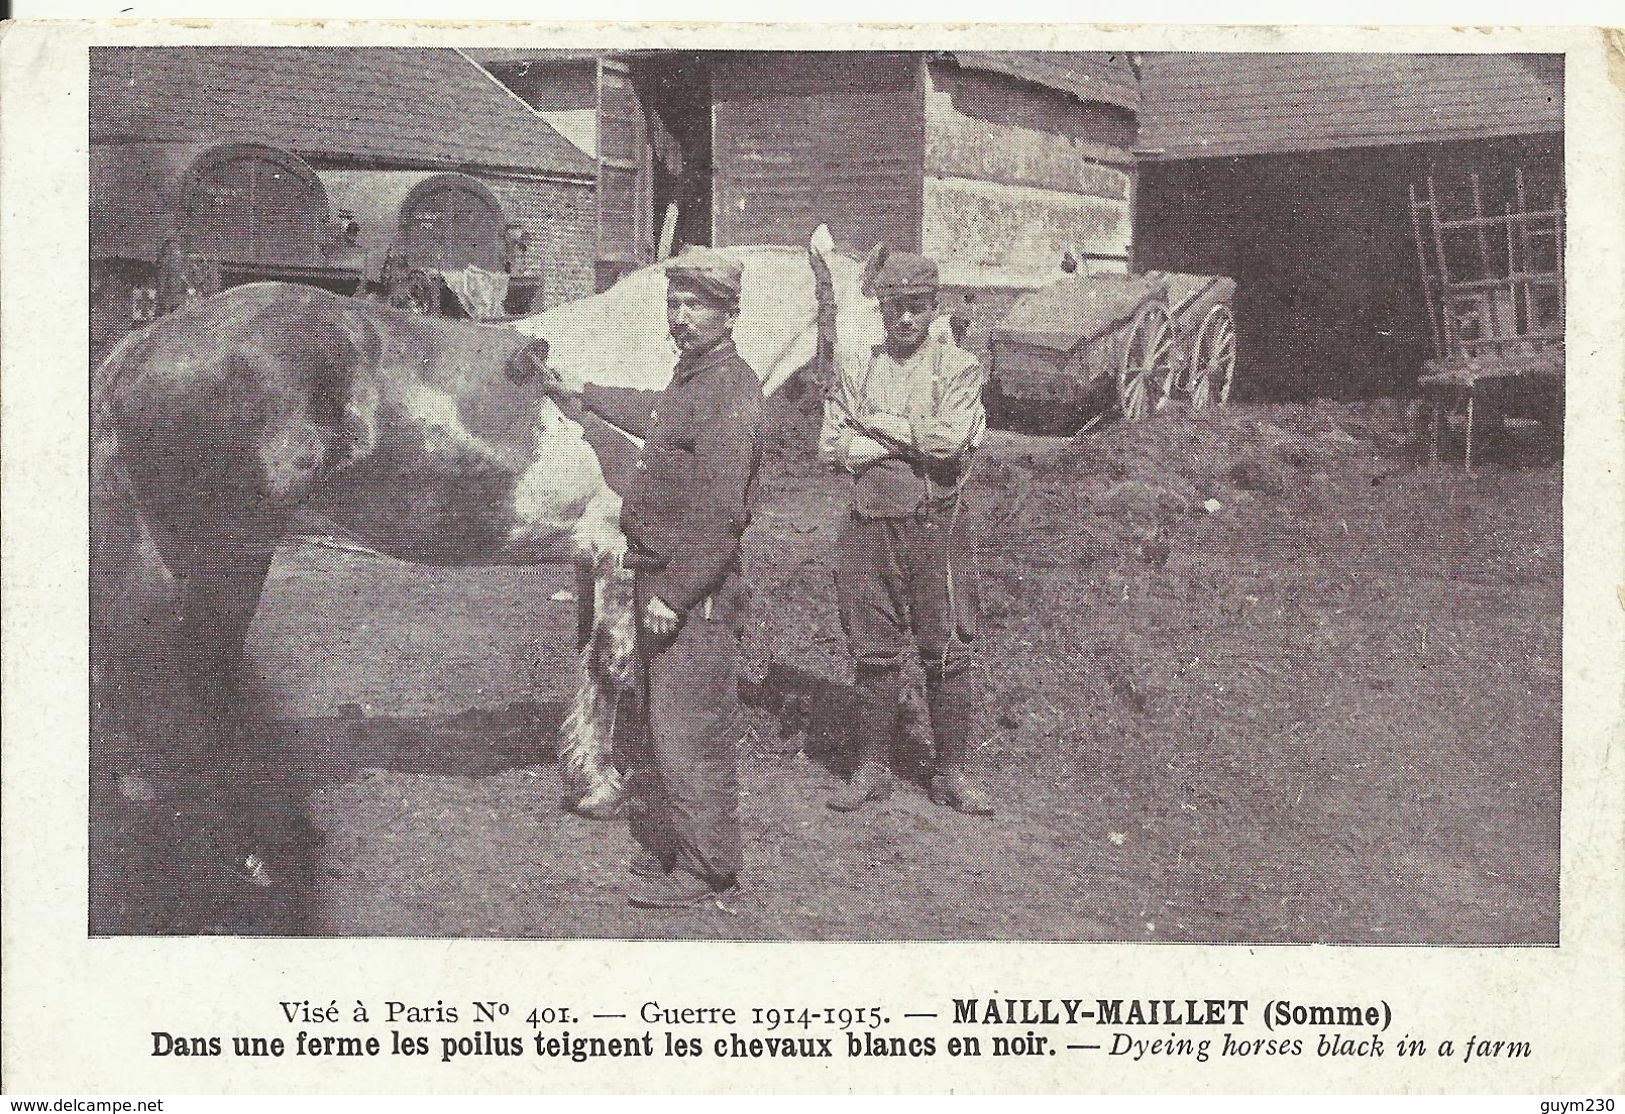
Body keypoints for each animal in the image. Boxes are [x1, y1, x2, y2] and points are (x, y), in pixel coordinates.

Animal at [93, 228, 884, 889]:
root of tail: (144, 346)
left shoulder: (589, 557)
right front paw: (600, 789)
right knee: (197, 679)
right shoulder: (619, 554)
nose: (851, 450)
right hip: (222, 561)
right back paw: (248, 849)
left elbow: (591, 659)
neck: (655, 366)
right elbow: (612, 663)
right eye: (885, 333)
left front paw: (590, 766)